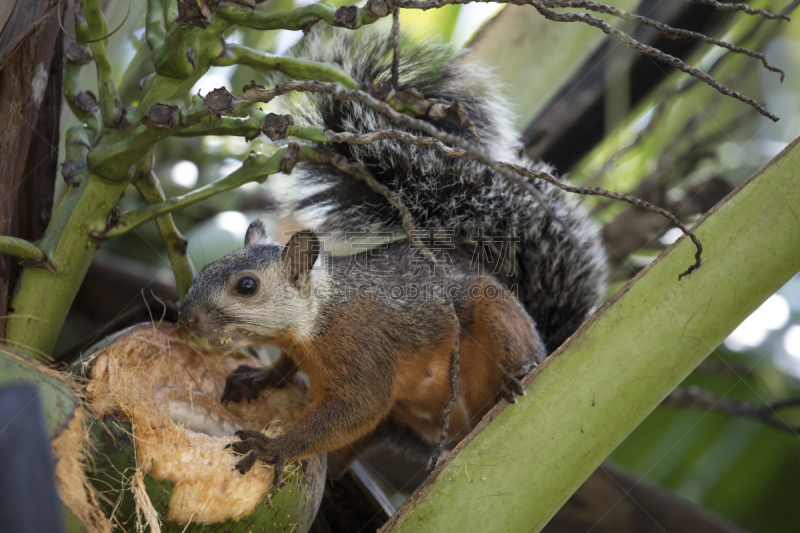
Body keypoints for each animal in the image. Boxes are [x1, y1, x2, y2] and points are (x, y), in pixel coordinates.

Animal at [180, 25, 608, 482]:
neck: (316, 321)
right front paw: (261, 376)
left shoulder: (365, 349)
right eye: (204, 269)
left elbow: (358, 408)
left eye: (247, 286)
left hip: (495, 315)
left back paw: (518, 376)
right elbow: (288, 372)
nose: (184, 317)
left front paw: (275, 447)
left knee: (517, 353)